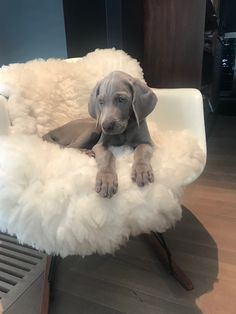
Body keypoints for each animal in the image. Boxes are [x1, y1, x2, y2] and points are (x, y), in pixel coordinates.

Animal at [88, 71, 157, 199]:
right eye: (101, 102)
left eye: (121, 99)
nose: (106, 126)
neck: (124, 131)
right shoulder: (99, 145)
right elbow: (107, 155)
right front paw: (106, 179)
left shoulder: (148, 143)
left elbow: (141, 149)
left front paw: (142, 170)